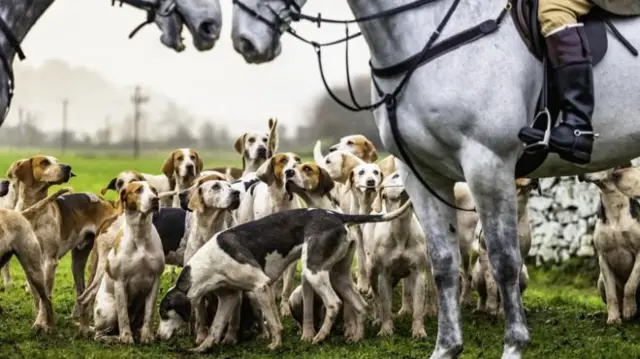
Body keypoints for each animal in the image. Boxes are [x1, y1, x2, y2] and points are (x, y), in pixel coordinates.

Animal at [230, 0, 640, 359]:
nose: (245, 41)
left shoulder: (487, 164)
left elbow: (504, 262)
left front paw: (513, 345)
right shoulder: (425, 174)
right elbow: (442, 264)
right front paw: (446, 347)